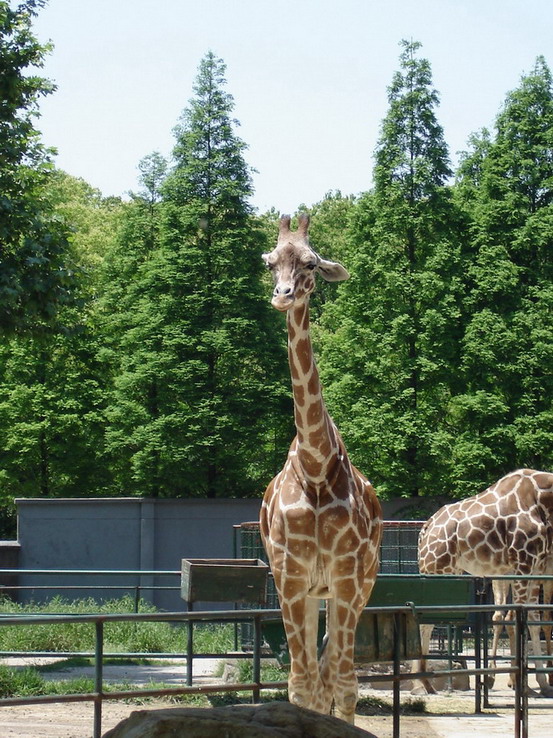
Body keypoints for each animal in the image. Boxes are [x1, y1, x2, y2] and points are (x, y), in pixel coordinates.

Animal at [416, 468, 552, 692]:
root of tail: (425, 529)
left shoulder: (533, 569)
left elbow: (533, 620)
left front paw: (540, 682)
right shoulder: (523, 563)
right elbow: (519, 618)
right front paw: (521, 683)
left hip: (448, 572)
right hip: (438, 569)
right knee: (426, 621)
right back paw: (424, 681)